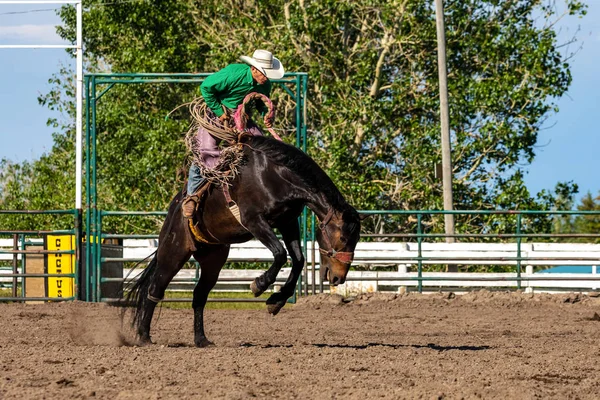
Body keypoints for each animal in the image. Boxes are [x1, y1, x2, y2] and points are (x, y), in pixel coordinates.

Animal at [126, 134, 360, 346]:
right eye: (342, 236)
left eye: (356, 239)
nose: (339, 278)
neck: (274, 174)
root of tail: (174, 210)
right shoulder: (253, 220)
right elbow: (280, 253)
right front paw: (259, 285)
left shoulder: (287, 222)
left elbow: (298, 259)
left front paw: (276, 301)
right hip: (173, 253)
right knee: (155, 288)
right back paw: (144, 337)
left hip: (213, 259)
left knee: (199, 295)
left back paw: (201, 340)